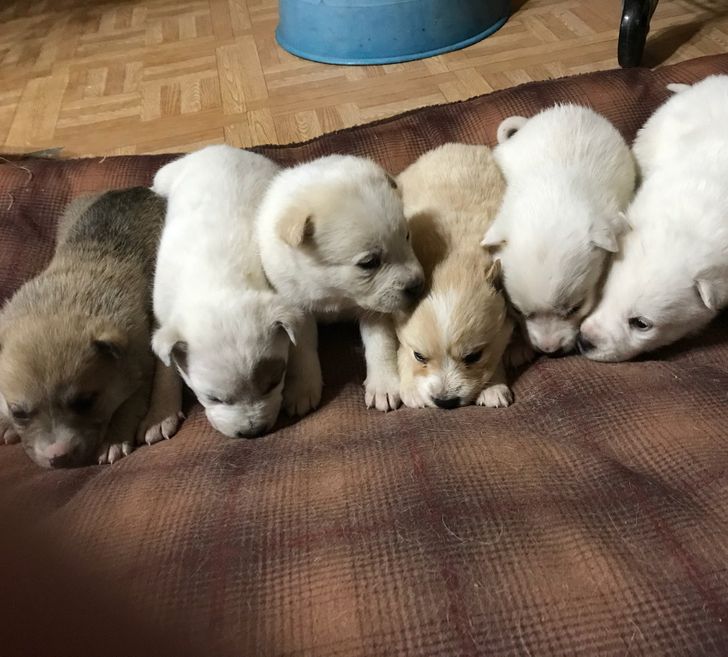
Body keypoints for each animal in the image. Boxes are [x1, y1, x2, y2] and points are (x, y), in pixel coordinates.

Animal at [0, 187, 181, 468]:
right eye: (18, 413)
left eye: (85, 402)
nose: (58, 458)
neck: (59, 305)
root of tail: (133, 189)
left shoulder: (138, 362)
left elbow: (129, 402)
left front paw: (114, 440)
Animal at [152, 146, 314, 438]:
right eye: (213, 398)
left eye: (274, 382)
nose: (252, 432)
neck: (216, 284)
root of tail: (222, 147)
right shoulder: (163, 319)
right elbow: (165, 369)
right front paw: (160, 415)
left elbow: (303, 337)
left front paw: (303, 386)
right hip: (166, 178)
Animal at [258, 154, 424, 410]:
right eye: (369, 262)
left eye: (407, 236)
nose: (418, 286)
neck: (337, 293)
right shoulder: (297, 304)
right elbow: (302, 349)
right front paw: (302, 389)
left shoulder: (375, 308)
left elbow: (380, 343)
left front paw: (383, 386)